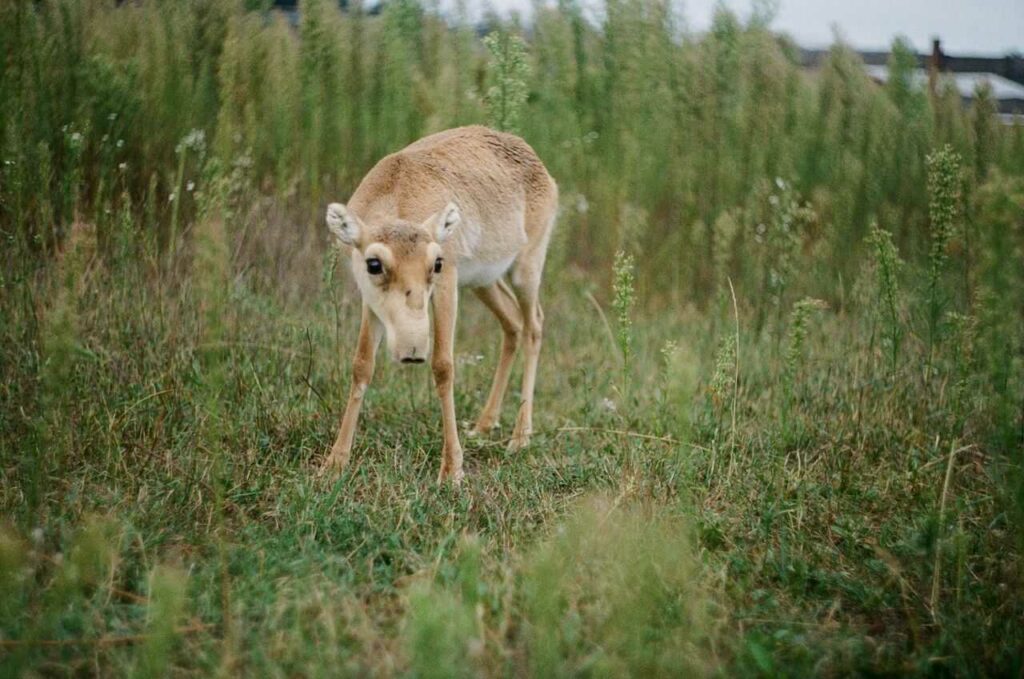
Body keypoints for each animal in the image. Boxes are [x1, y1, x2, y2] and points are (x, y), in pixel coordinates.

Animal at [321, 123, 557, 483]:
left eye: (436, 263)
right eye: (373, 264)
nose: (412, 350)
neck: (397, 193)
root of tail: (533, 156)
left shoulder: (447, 286)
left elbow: (443, 365)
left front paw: (452, 469)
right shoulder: (370, 301)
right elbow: (361, 365)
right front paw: (335, 462)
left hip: (525, 268)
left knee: (535, 326)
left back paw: (519, 437)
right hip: (483, 282)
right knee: (513, 324)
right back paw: (483, 425)